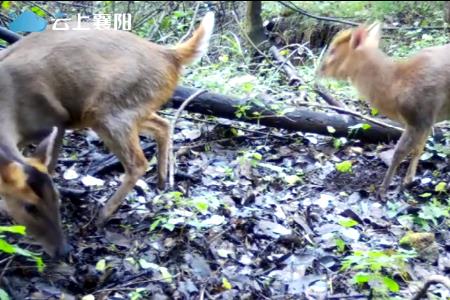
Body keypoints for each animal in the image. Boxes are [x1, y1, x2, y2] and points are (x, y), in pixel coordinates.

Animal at [0, 12, 216, 258]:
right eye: (30, 206)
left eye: (57, 197)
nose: (63, 251)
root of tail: (170, 56)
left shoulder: (58, 119)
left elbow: (51, 164)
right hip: (134, 108)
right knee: (163, 124)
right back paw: (162, 181)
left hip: (110, 111)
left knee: (138, 162)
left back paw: (103, 214)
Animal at [318, 23, 450, 202]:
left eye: (332, 50)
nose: (319, 70)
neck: (395, 83)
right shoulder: (427, 120)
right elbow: (419, 148)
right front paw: (408, 180)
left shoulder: (419, 116)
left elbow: (399, 152)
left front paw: (383, 190)